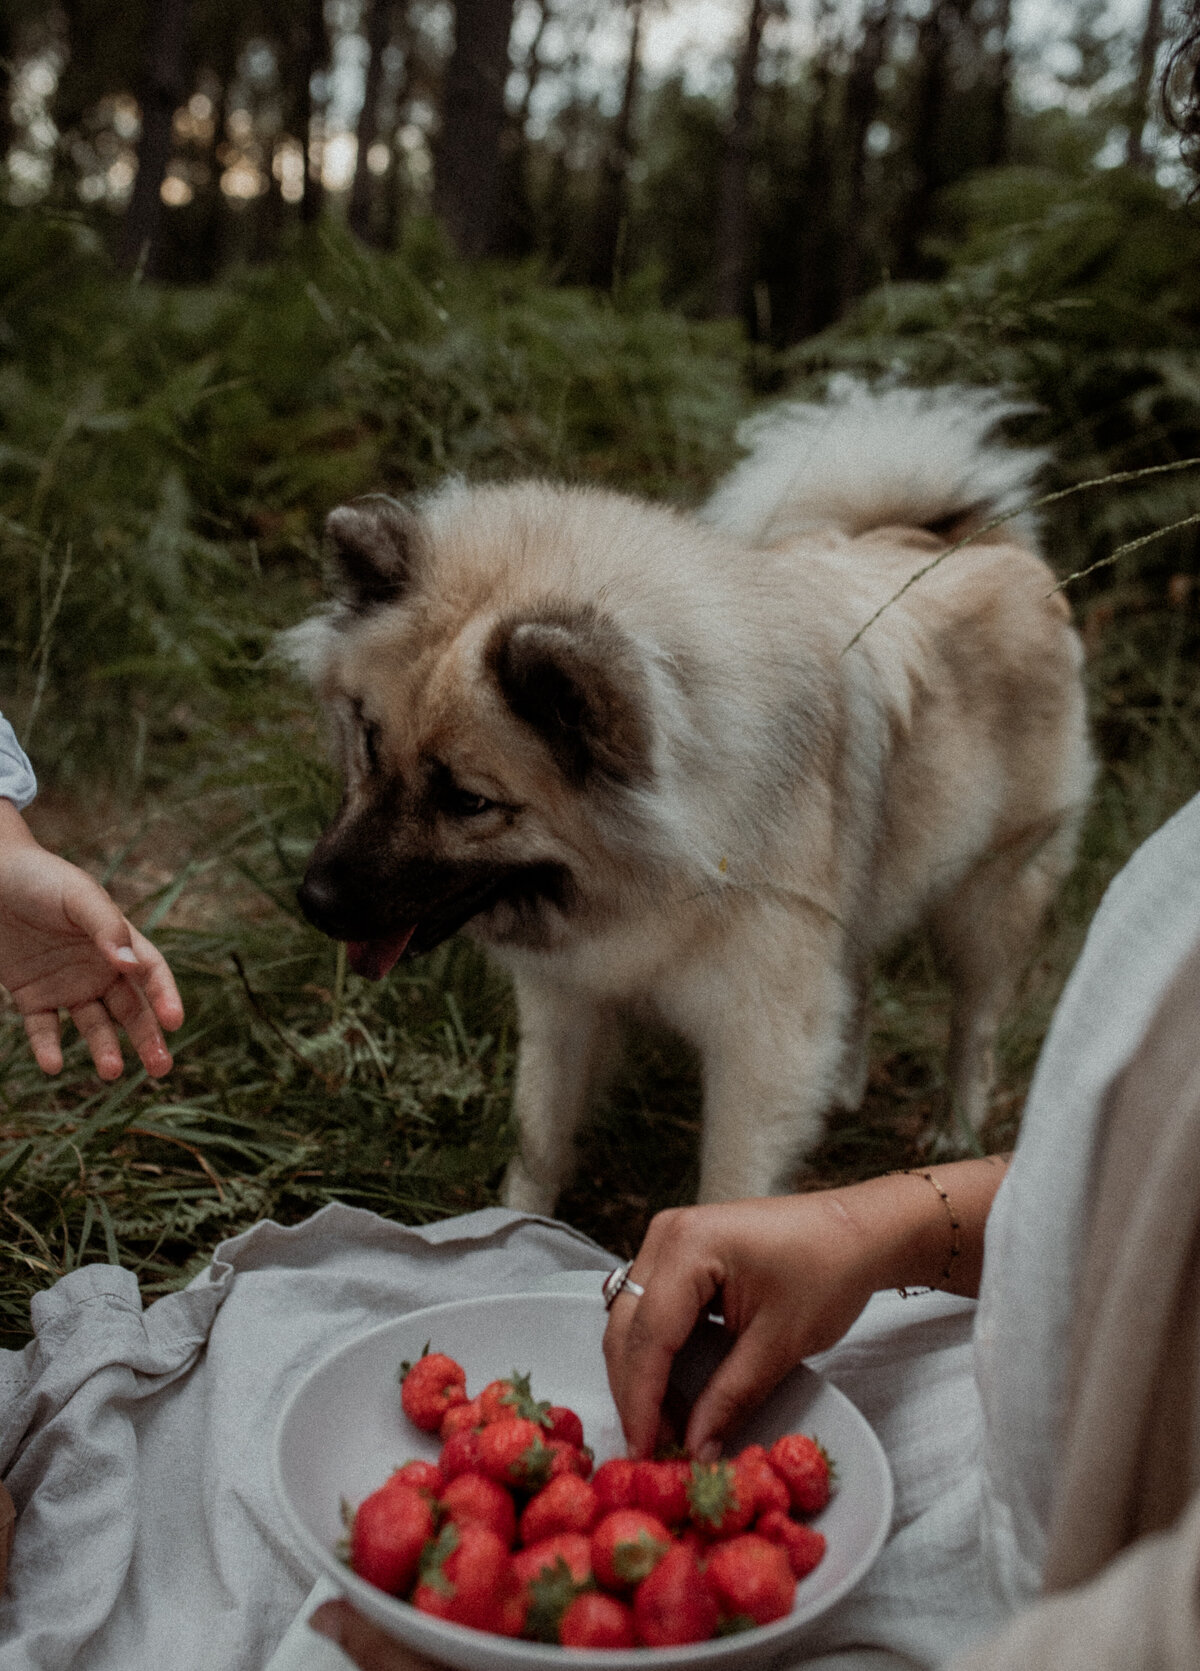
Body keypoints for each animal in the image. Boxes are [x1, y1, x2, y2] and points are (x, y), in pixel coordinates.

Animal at [290, 382, 1103, 1209]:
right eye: (368, 743)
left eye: (467, 801)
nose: (314, 901)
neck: (658, 862)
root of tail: (978, 542)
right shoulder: (568, 1004)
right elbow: (539, 1142)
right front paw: (510, 1222)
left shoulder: (757, 1047)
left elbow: (729, 1188)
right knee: (862, 972)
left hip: (987, 900)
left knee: (975, 1023)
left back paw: (955, 1130)